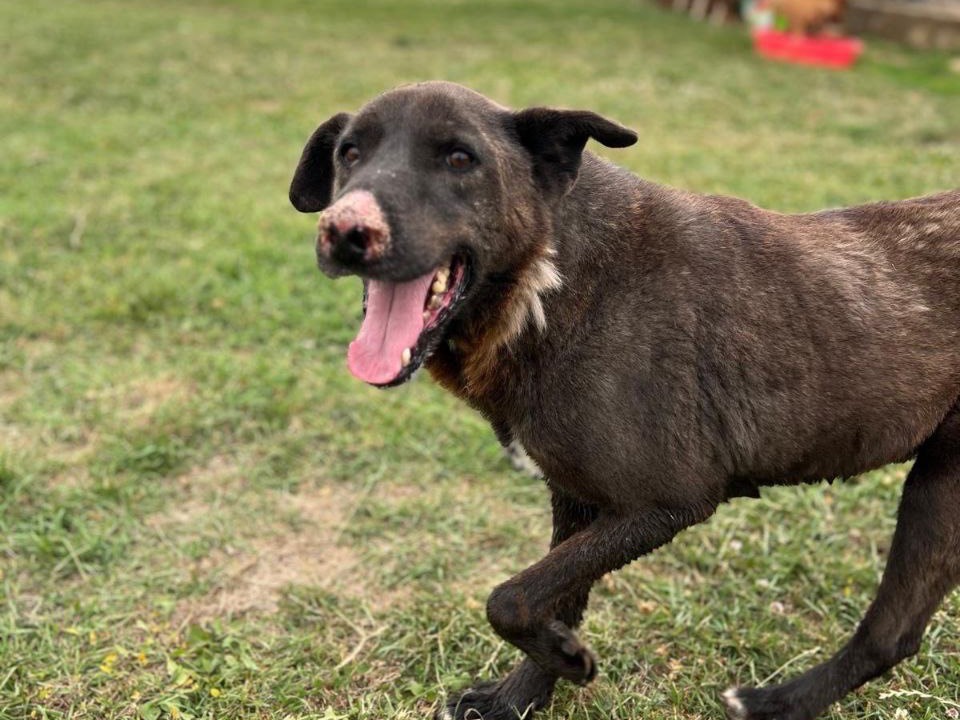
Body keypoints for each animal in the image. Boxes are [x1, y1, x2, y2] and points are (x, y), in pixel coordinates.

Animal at [288, 81, 960, 720]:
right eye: (350, 153)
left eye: (460, 158)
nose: (343, 232)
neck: (550, 278)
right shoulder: (577, 499)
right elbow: (553, 599)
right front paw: (521, 699)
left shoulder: (667, 501)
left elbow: (509, 598)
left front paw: (566, 659)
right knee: (895, 637)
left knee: (886, 633)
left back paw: (771, 705)